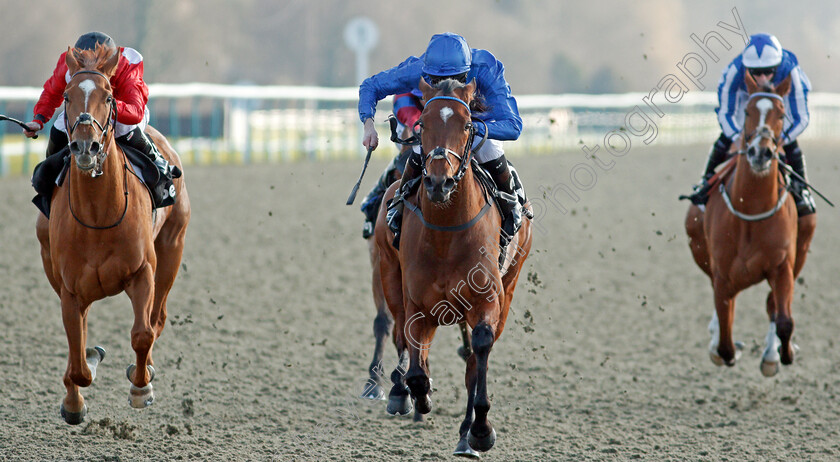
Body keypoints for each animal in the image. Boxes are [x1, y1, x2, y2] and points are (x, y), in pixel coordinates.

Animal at [34, 45, 190, 424]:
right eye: (66, 96)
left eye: (108, 96)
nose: (85, 146)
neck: (97, 215)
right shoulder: (70, 289)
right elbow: (77, 357)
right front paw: (75, 399)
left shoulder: (142, 272)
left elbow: (142, 334)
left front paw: (140, 388)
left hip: (172, 249)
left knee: (157, 319)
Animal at [374, 77, 532, 456]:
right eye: (423, 124)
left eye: (466, 124)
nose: (438, 181)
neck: (447, 233)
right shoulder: (416, 302)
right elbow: (415, 364)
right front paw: (415, 394)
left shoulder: (487, 300)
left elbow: (480, 350)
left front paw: (481, 430)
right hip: (388, 273)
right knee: (399, 334)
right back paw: (403, 395)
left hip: (511, 283)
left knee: (474, 358)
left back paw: (466, 434)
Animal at [684, 71, 816, 376]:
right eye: (746, 111)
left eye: (781, 113)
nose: (760, 152)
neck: (751, 207)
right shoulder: (723, 275)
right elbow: (725, 338)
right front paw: (721, 348)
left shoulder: (783, 266)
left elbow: (783, 320)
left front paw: (781, 354)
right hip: (697, 244)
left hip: (802, 249)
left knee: (772, 307)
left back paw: (771, 354)